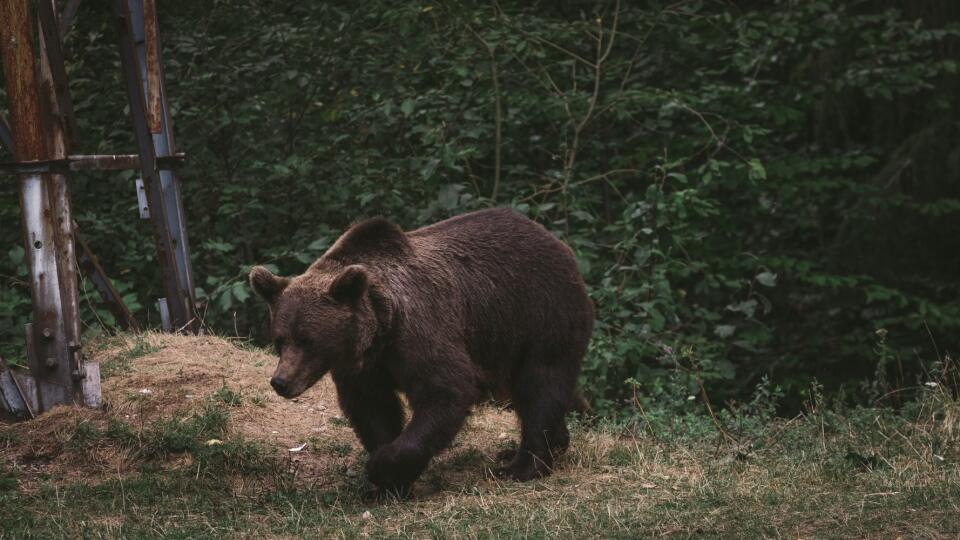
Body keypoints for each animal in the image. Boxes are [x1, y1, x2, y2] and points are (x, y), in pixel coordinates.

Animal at [248, 209, 592, 496]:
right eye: (280, 339)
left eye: (308, 340)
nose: (281, 382)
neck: (381, 328)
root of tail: (556, 242)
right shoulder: (366, 368)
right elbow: (373, 409)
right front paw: (388, 482)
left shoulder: (420, 332)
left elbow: (446, 390)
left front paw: (382, 467)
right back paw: (548, 444)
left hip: (539, 315)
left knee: (540, 383)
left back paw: (523, 465)